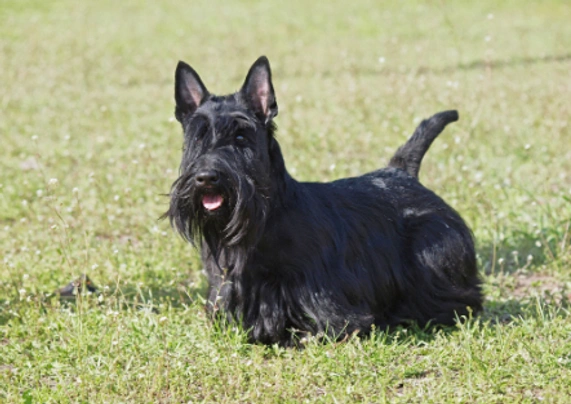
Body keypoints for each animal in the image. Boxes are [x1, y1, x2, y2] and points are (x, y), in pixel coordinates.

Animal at [165, 56, 482, 348]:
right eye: (197, 137)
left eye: (241, 136)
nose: (207, 177)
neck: (265, 219)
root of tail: (403, 171)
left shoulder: (330, 311)